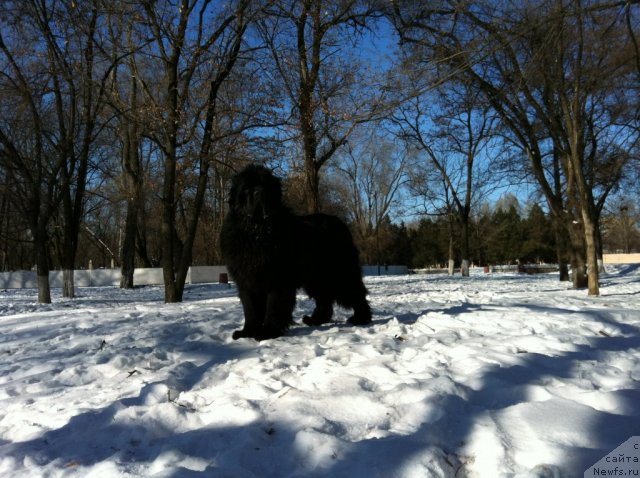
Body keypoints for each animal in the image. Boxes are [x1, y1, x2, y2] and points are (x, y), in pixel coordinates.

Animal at [220, 164, 370, 340]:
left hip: (340, 273)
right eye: (247, 188)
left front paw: (267, 331)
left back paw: (361, 318)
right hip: (316, 278)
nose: (260, 192)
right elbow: (250, 309)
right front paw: (247, 331)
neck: (258, 232)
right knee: (324, 298)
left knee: (356, 293)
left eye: (266, 186)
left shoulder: (278, 279)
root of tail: (340, 223)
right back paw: (315, 319)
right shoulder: (246, 280)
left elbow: (273, 306)